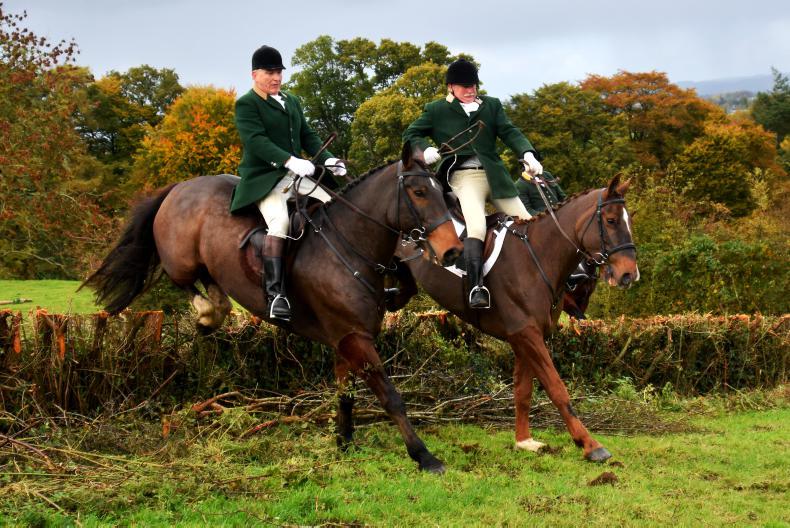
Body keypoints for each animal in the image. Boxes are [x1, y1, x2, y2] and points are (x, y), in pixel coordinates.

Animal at [81, 145, 463, 473]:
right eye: (419, 193)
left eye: (443, 194)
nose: (453, 252)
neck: (349, 245)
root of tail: (180, 186)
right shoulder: (355, 338)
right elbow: (390, 396)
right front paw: (424, 456)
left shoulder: (344, 339)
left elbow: (345, 394)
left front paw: (343, 441)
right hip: (182, 260)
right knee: (185, 280)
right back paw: (207, 312)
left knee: (211, 283)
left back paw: (213, 310)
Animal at [389, 174, 638, 462]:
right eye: (611, 220)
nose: (629, 274)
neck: (538, 258)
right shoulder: (526, 334)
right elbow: (556, 388)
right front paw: (589, 444)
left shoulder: (526, 336)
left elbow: (523, 390)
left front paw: (524, 441)